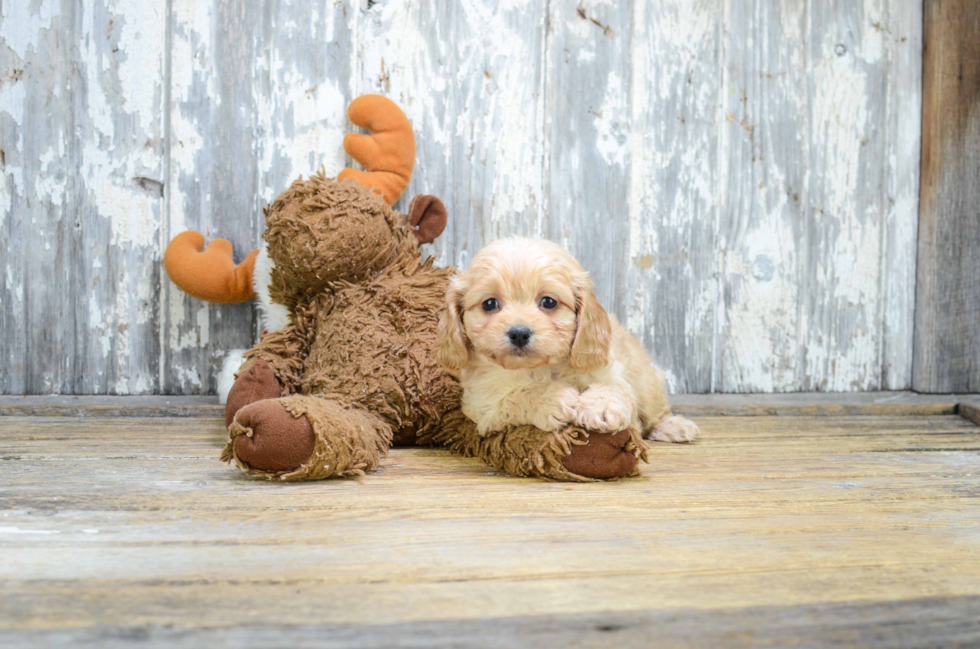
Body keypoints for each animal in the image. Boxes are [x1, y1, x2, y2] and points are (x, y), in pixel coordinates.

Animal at [436, 235, 696, 442]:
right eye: (490, 304)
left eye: (548, 302)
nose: (519, 333)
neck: (542, 368)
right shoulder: (483, 402)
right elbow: (513, 397)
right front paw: (550, 397)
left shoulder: (610, 369)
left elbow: (616, 389)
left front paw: (601, 406)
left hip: (647, 381)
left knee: (655, 411)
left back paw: (673, 426)